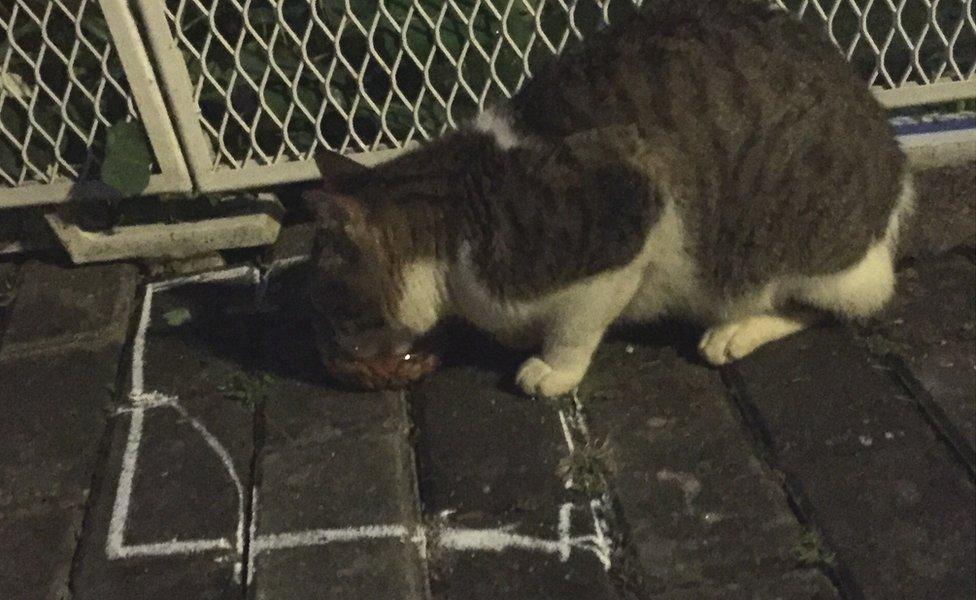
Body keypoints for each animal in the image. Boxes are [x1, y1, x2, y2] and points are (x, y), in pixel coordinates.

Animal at [302, 0, 912, 398]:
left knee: (848, 301)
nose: (327, 347)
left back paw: (735, 330)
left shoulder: (633, 214)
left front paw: (551, 369)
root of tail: (894, 162)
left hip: (806, 256)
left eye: (333, 305)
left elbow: (575, 327)